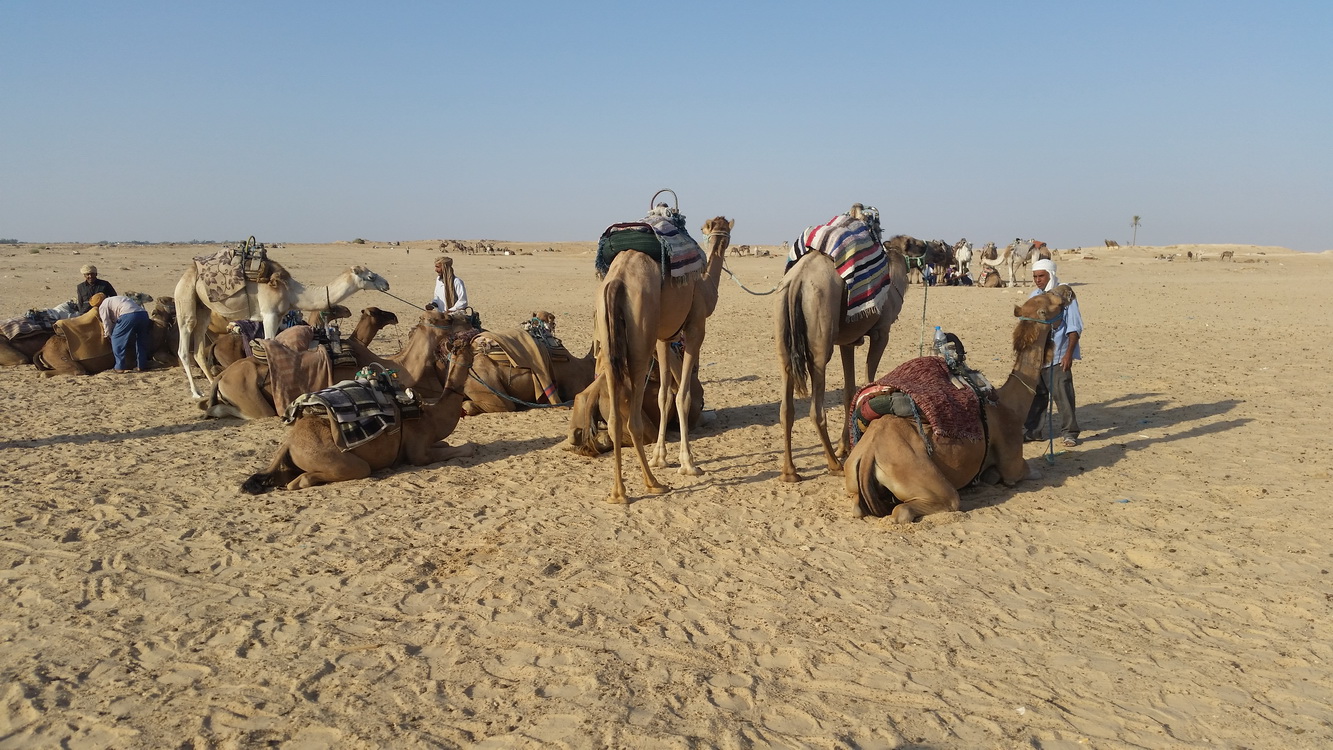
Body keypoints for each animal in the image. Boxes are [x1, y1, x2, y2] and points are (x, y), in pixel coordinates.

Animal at [174, 263, 390, 398]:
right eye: (370, 276)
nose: (386, 283)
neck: (292, 292)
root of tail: (185, 275)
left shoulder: (279, 316)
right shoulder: (269, 313)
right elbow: (268, 343)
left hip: (204, 309)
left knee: (199, 349)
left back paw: (214, 388)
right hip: (185, 299)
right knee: (184, 344)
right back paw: (196, 392)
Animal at [239, 330, 479, 493]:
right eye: (469, 345)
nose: (478, 337)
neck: (431, 417)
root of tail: (289, 442)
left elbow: (444, 443)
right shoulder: (419, 452)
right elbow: (463, 449)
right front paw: (468, 447)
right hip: (338, 459)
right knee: (316, 478)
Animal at [596, 214, 733, 503]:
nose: (722, 240)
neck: (705, 285)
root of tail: (617, 280)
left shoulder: (663, 337)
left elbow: (663, 396)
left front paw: (661, 457)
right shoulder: (694, 329)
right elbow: (683, 395)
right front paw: (688, 463)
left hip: (610, 333)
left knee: (615, 418)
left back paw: (618, 492)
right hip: (640, 339)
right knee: (633, 419)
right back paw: (652, 484)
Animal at [777, 206, 909, 483]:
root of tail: (798, 281)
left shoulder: (847, 341)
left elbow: (850, 390)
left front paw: (845, 445)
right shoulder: (881, 332)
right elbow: (869, 382)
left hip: (783, 334)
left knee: (786, 407)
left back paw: (790, 472)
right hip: (820, 339)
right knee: (816, 409)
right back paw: (833, 464)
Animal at [843, 287, 1073, 523]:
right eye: (1052, 300)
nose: (1067, 291)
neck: (1010, 406)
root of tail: (869, 454)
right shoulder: (1013, 463)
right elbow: (1029, 471)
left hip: (852, 475)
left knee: (858, 506)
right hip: (925, 480)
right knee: (914, 508)